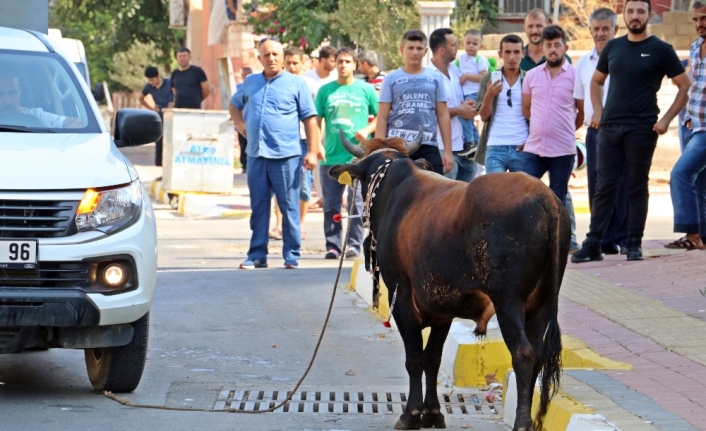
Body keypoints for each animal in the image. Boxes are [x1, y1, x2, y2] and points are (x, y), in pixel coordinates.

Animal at [328, 132, 568, 431]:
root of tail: (542, 194)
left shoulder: (402, 297)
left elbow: (414, 359)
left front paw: (411, 414)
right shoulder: (441, 309)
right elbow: (432, 358)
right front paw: (432, 412)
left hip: (509, 302)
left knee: (523, 354)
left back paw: (521, 423)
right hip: (541, 303)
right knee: (536, 356)